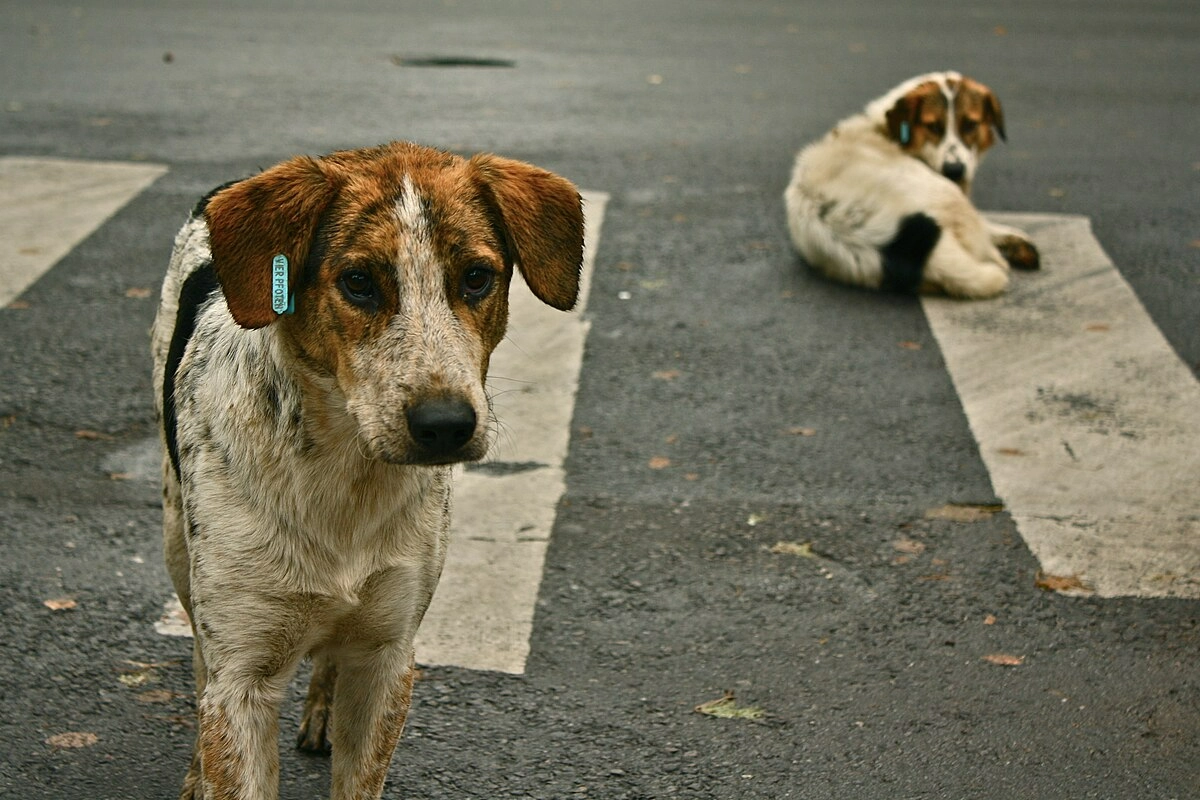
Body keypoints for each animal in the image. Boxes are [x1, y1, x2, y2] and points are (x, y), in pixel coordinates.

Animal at [152, 143, 583, 800]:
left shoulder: (388, 658)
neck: (344, 476)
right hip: (178, 541)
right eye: (358, 282)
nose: (445, 424)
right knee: (201, 654)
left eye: (476, 277)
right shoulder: (242, 677)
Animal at [782, 69, 1036, 297]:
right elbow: (986, 226)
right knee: (986, 250)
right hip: (947, 195)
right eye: (933, 126)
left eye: (970, 125)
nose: (954, 170)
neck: (886, 131)